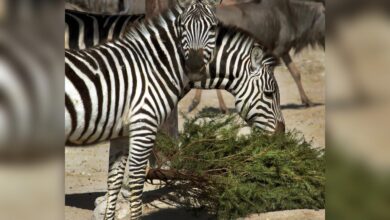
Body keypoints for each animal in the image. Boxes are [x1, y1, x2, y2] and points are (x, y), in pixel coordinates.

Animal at [66, 0, 222, 219]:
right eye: (182, 27)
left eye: (213, 28)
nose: (194, 65)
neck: (151, 67)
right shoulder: (144, 124)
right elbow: (136, 179)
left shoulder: (121, 132)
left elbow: (114, 180)